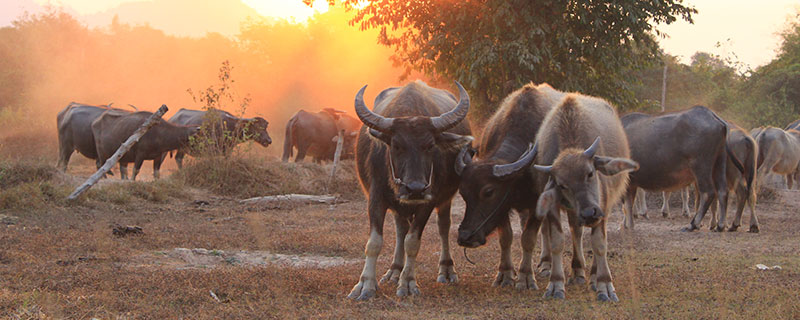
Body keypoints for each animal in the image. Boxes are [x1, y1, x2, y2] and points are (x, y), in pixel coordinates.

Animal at [346, 80, 472, 300]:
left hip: (444, 200)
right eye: (396, 145)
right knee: (400, 228)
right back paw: (395, 271)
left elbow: (412, 242)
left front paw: (407, 283)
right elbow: (374, 242)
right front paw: (365, 285)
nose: (415, 189)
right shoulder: (376, 197)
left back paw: (446, 269)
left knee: (443, 227)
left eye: (430, 145)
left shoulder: (428, 200)